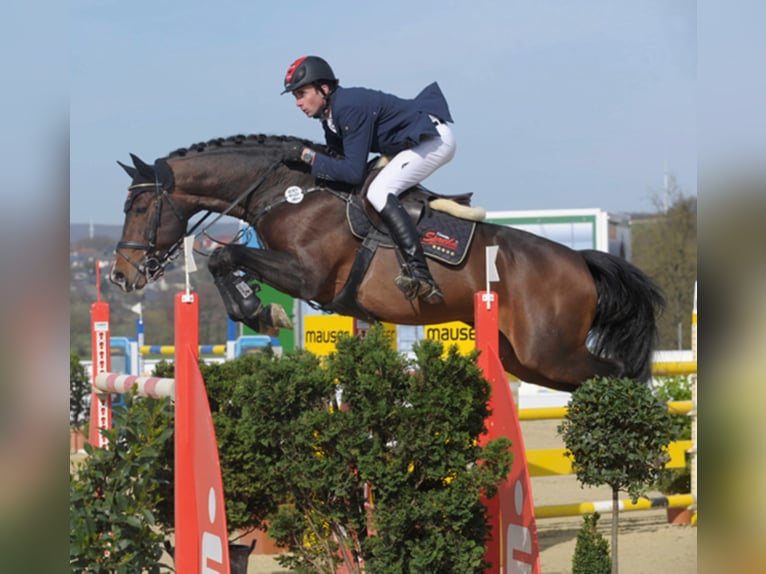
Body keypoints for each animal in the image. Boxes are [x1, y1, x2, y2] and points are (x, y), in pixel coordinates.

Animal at [109, 134, 664, 396]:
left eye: (139, 206)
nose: (120, 275)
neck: (285, 190)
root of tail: (581, 263)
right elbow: (228, 262)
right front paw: (258, 308)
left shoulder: (306, 273)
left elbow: (226, 255)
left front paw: (263, 312)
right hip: (526, 359)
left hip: (549, 351)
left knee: (619, 373)